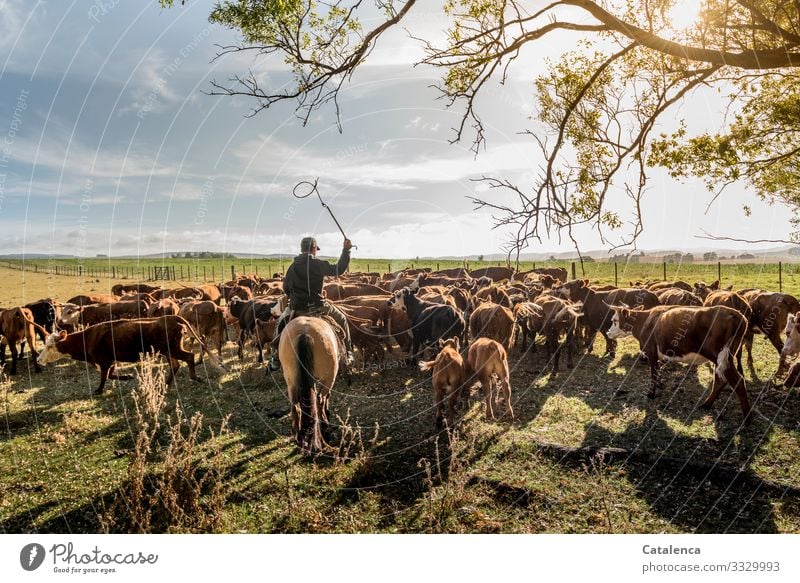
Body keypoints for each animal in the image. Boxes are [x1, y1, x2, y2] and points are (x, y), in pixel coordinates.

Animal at [36, 318, 220, 394]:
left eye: (50, 346)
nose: (38, 359)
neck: (87, 338)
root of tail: (174, 319)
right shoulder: (110, 361)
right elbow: (109, 375)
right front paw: (127, 376)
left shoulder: (104, 361)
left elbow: (104, 377)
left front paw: (98, 390)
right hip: (168, 351)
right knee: (175, 365)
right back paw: (165, 384)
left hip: (173, 349)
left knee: (189, 357)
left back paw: (195, 377)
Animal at [278, 314, 340, 452]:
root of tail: (304, 333)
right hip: (328, 379)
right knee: (320, 400)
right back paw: (323, 430)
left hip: (292, 382)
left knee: (296, 407)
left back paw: (299, 437)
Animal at [608, 306, 752, 420]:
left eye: (615, 320)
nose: (608, 332)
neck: (645, 320)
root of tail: (737, 314)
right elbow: (658, 369)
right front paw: (660, 383)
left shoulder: (651, 352)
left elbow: (653, 373)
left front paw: (651, 393)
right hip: (721, 359)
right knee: (720, 381)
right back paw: (706, 404)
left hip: (721, 356)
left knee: (737, 381)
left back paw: (747, 417)